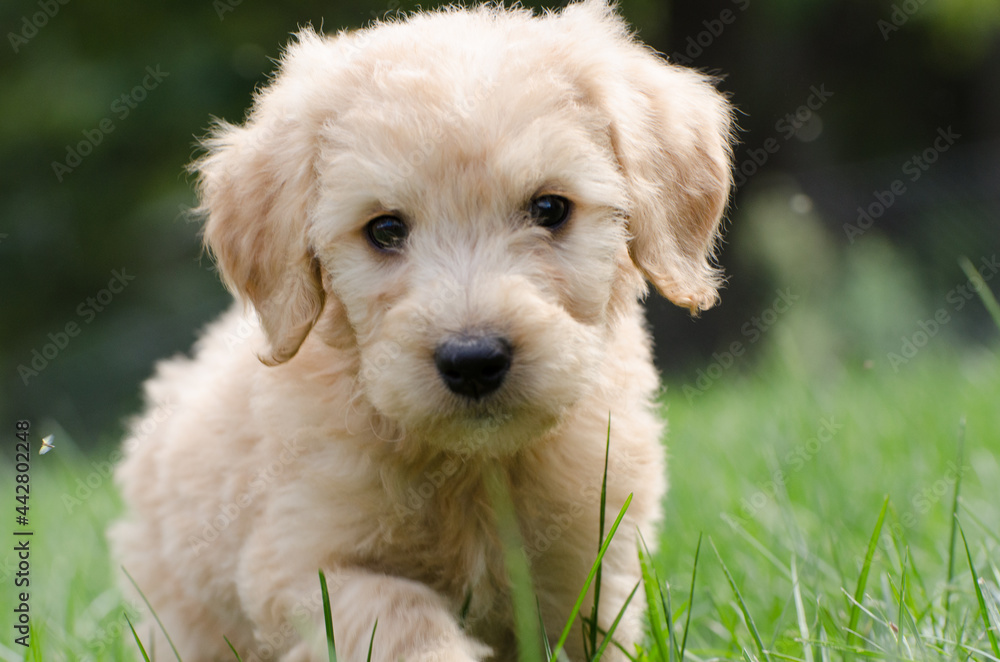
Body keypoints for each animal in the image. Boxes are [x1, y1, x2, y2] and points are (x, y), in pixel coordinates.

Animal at [109, 2, 736, 660]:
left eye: (549, 208)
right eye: (384, 229)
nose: (473, 361)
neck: (474, 470)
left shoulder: (592, 569)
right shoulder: (301, 567)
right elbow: (397, 614)